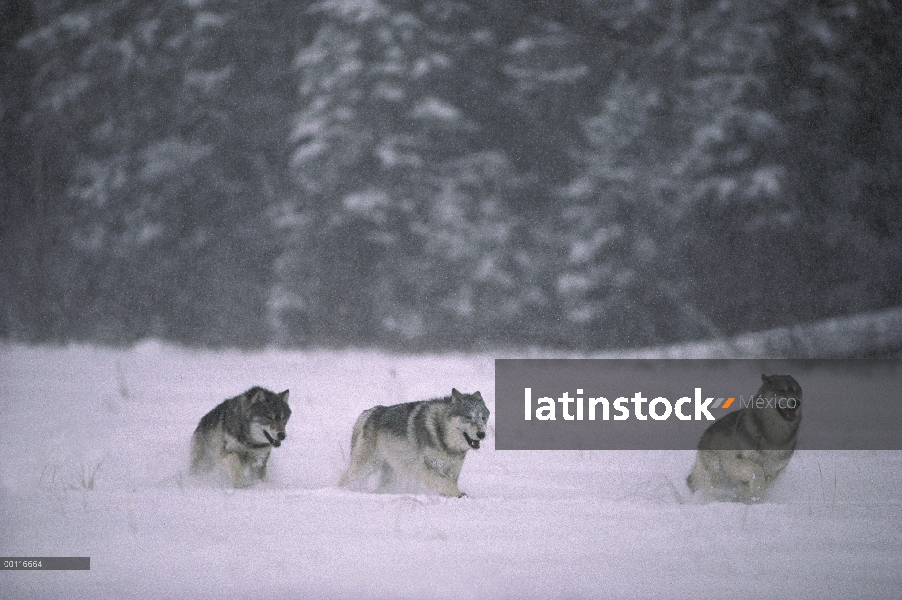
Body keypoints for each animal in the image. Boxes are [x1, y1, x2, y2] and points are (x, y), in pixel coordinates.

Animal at [340, 390, 490, 496]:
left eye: (483, 418)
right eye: (468, 417)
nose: (481, 434)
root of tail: (368, 412)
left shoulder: (452, 470)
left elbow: (448, 483)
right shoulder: (427, 468)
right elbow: (446, 483)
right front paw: (460, 494)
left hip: (391, 472)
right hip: (366, 467)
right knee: (344, 478)